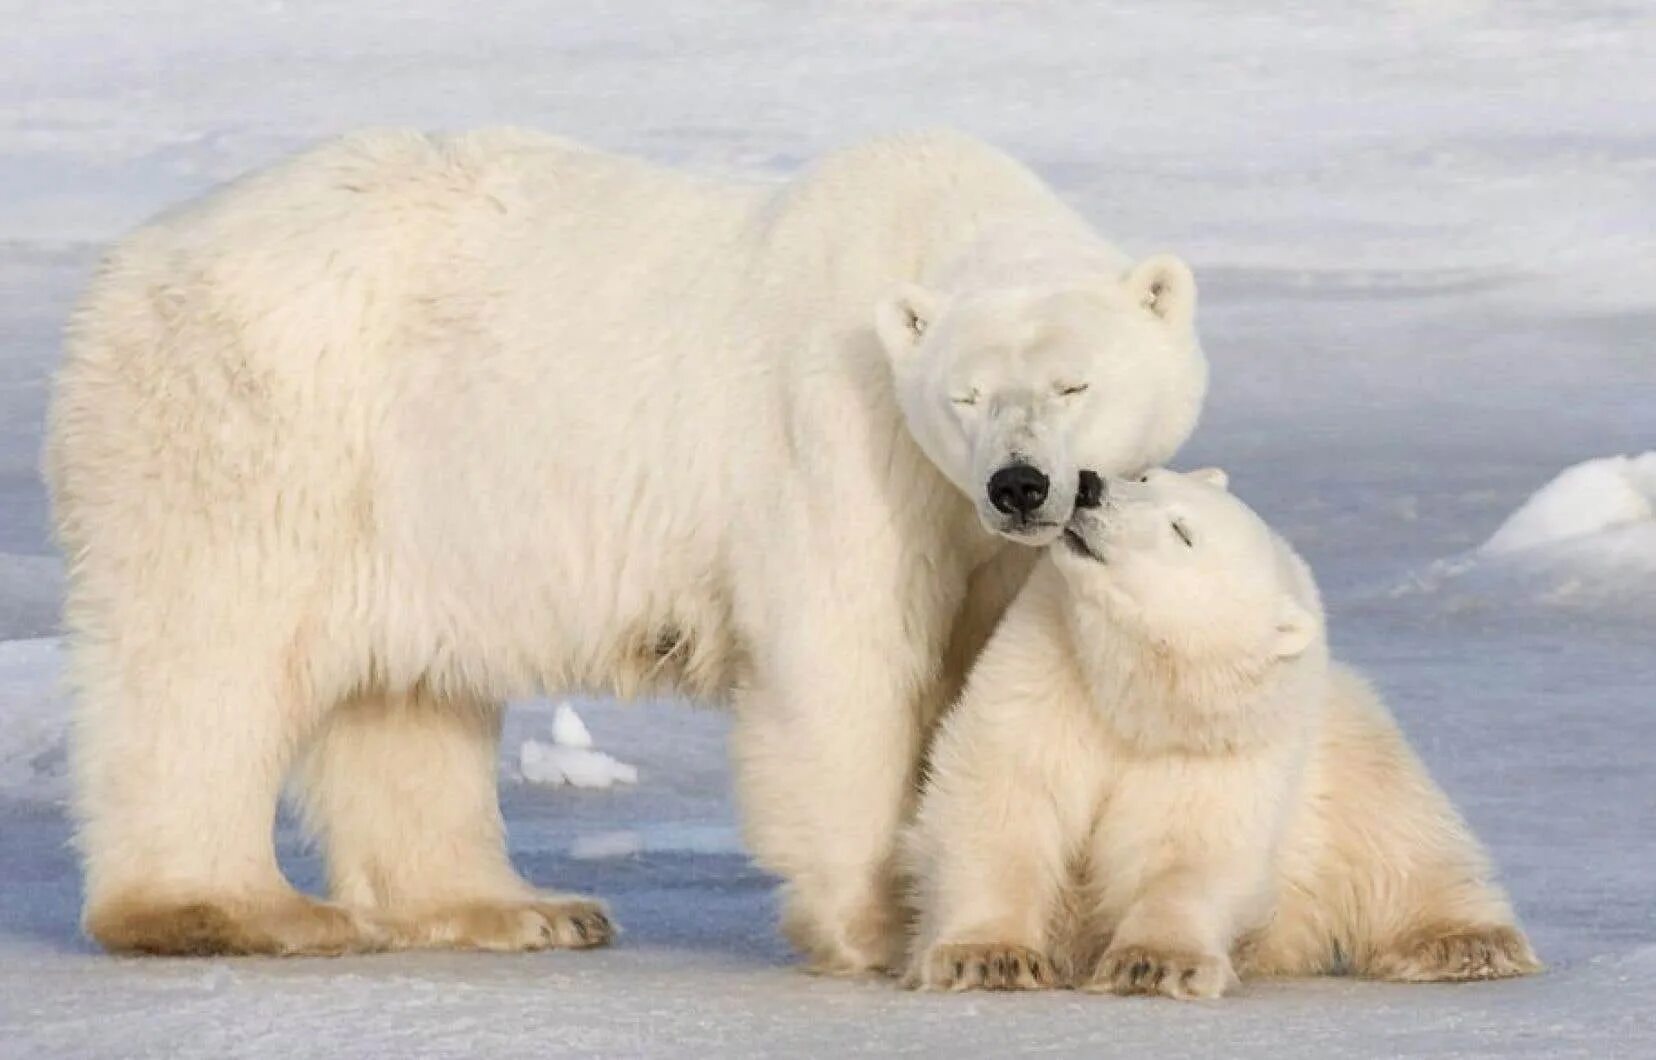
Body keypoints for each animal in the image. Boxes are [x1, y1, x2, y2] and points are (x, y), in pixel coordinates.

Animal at [48, 130, 1205, 967]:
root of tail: (128, 262)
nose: (1020, 482)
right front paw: (879, 926)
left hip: (412, 501)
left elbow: (986, 675)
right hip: (254, 421)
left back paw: (522, 906)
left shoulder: (981, 534)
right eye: (965, 396)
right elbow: (848, 660)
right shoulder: (844, 439)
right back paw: (229, 908)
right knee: (208, 656)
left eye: (1075, 384)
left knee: (406, 696)